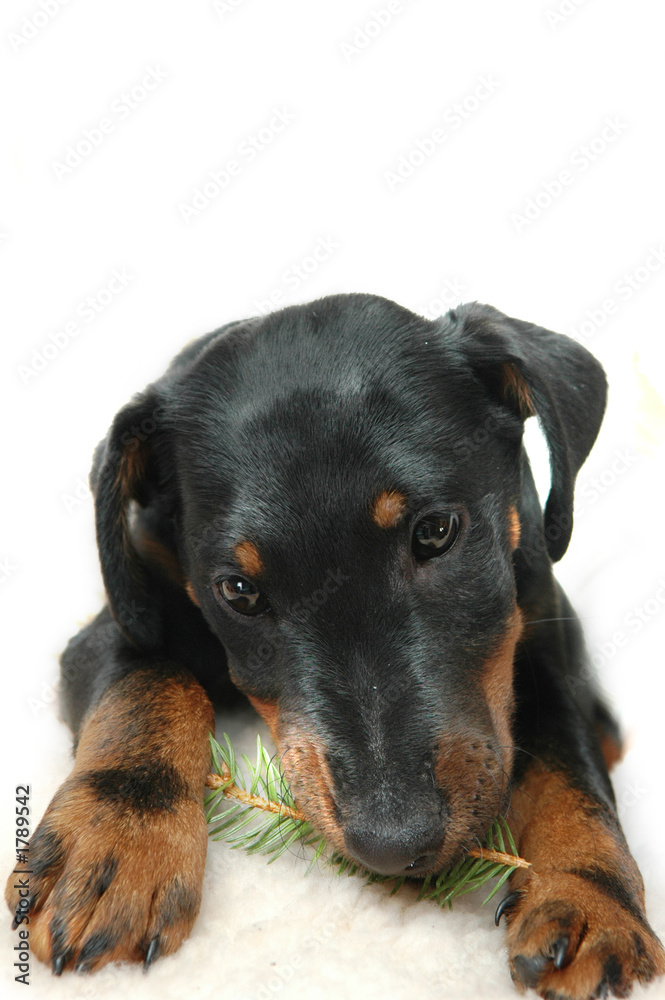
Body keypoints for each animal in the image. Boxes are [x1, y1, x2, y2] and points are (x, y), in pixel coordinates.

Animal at [6, 292, 664, 996]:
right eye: (238, 590)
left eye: (437, 531)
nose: (395, 845)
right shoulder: (118, 617)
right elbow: (146, 680)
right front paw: (116, 844)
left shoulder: (546, 637)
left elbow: (572, 770)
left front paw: (590, 902)